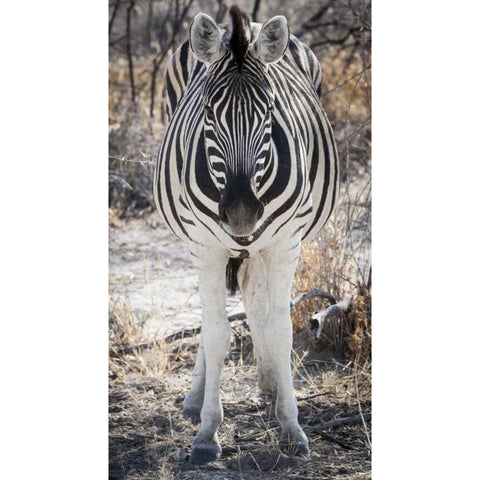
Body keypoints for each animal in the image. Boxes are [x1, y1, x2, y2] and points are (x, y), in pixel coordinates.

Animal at [154, 4, 338, 464]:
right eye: (207, 112)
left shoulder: (284, 245)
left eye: (270, 111)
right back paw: (196, 399)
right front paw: (207, 433)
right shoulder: (206, 247)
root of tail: (248, 26)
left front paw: (291, 426)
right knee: (215, 321)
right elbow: (217, 333)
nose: (240, 214)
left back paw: (271, 389)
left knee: (258, 310)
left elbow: (282, 330)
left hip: (261, 247)